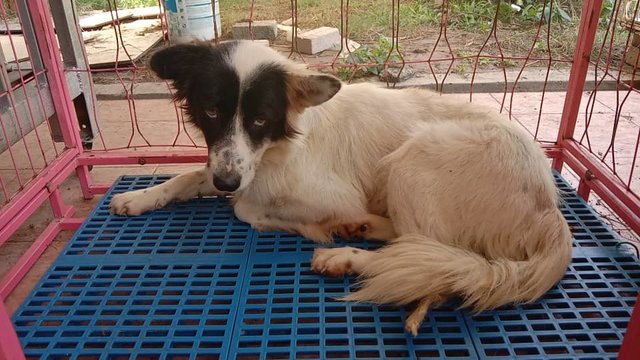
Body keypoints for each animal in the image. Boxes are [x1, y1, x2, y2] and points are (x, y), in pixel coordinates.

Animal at [107, 40, 572, 336]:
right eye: (211, 111)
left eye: (260, 119)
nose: (227, 181)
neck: (277, 148)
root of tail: (550, 210)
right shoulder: (233, 164)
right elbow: (192, 176)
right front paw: (140, 197)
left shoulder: (325, 193)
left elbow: (245, 207)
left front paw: (295, 222)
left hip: (414, 158)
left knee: (433, 259)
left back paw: (346, 253)